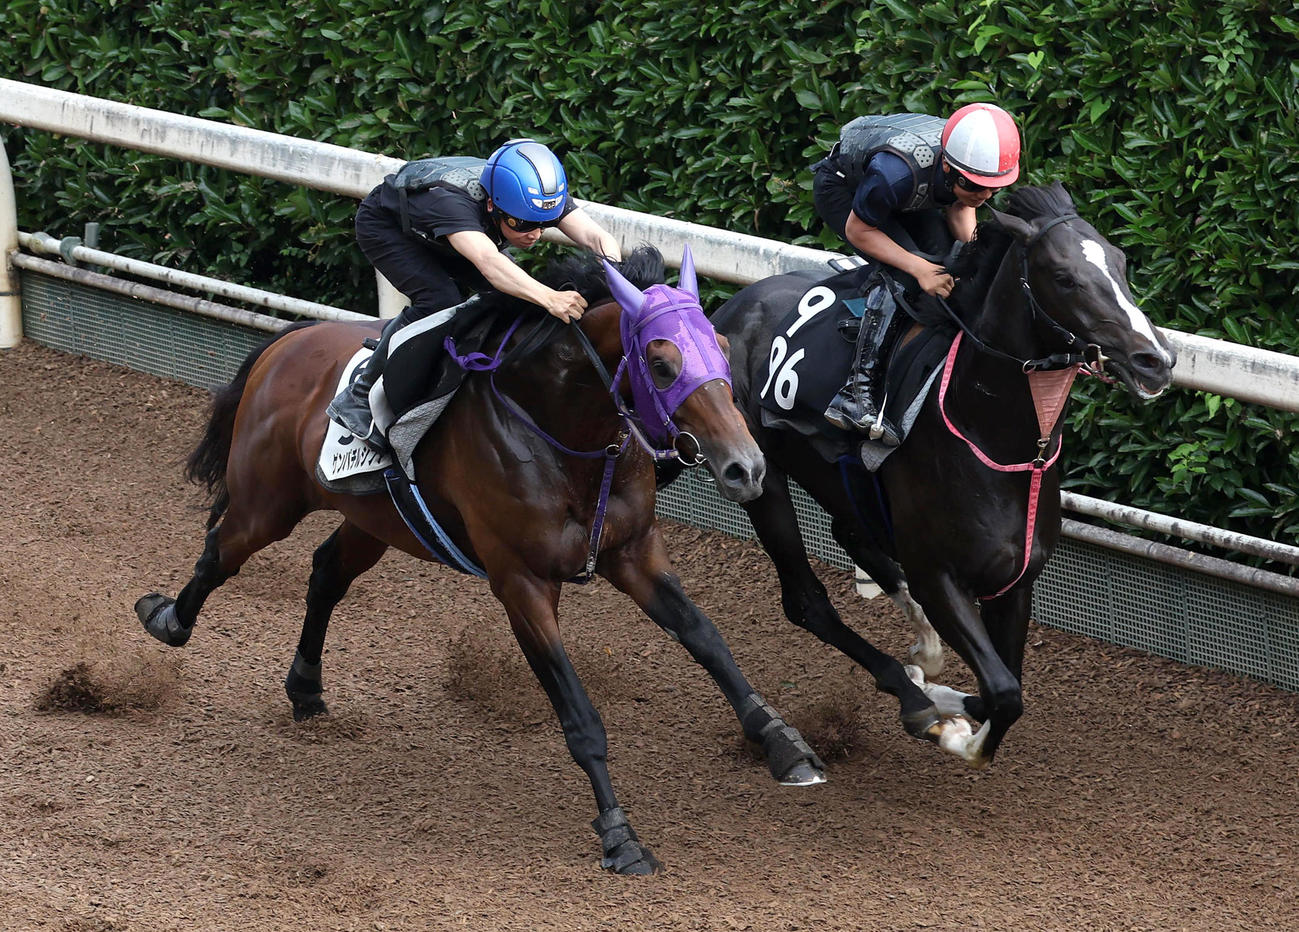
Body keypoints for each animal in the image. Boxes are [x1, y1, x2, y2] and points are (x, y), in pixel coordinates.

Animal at [134, 244, 826, 875]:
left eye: (721, 344)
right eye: (659, 363)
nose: (747, 466)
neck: (561, 430)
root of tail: (290, 340)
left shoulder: (634, 553)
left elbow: (707, 640)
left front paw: (784, 745)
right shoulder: (521, 584)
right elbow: (580, 714)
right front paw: (619, 835)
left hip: (376, 519)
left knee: (326, 570)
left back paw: (304, 686)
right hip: (268, 502)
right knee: (220, 552)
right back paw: (168, 619)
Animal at [710, 182, 1176, 768]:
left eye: (1121, 262)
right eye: (1064, 277)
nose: (1155, 360)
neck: (998, 442)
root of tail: (734, 305)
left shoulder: (1014, 581)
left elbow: (1006, 686)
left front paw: (941, 691)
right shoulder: (940, 576)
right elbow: (1003, 692)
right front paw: (951, 731)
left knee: (855, 538)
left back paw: (923, 654)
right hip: (759, 474)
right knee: (807, 601)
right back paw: (909, 686)